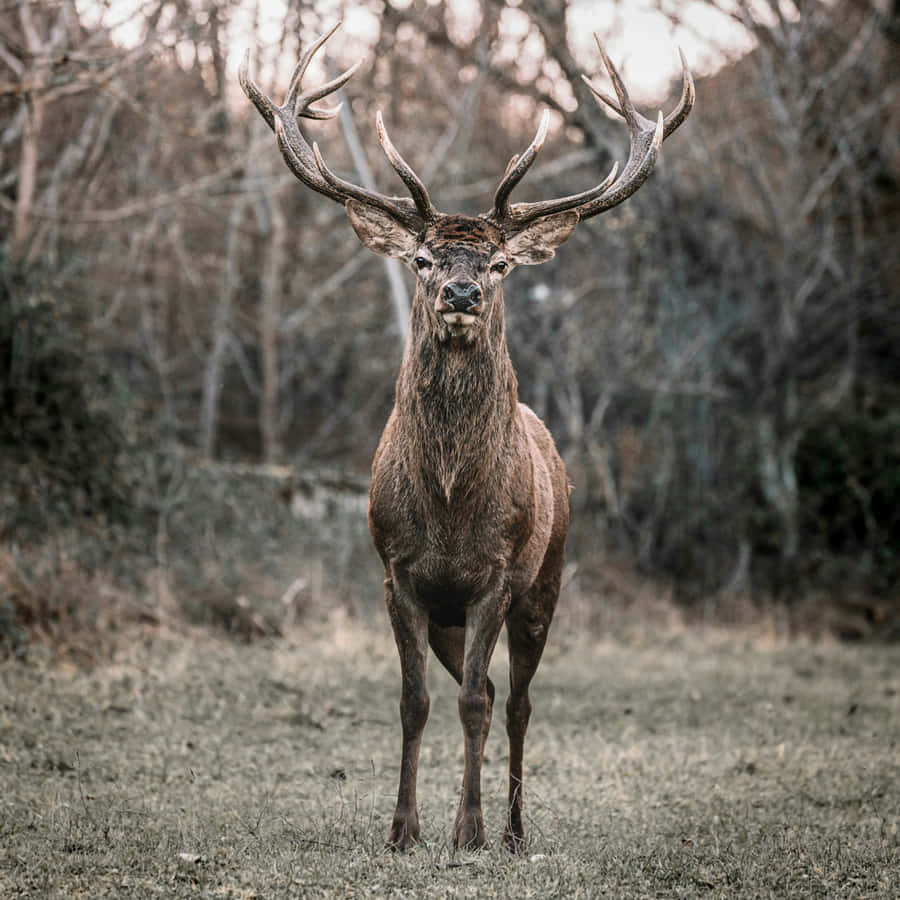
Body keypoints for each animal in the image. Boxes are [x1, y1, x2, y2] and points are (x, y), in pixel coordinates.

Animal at [240, 24, 693, 852]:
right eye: (422, 258)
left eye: (500, 261)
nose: (460, 292)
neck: (451, 506)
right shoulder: (399, 576)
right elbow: (416, 703)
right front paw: (402, 830)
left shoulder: (497, 576)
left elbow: (480, 705)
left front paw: (469, 831)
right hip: (455, 614)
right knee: (473, 685)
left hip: (548, 579)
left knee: (513, 702)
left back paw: (513, 829)